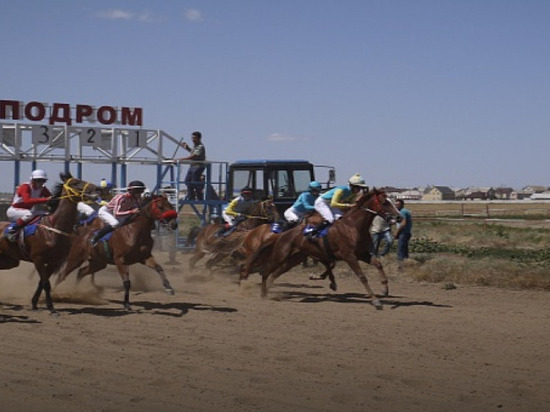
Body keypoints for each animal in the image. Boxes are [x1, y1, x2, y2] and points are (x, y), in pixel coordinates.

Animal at [0, 174, 101, 316]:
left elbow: (42, 283)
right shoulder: (39, 259)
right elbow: (46, 283)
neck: (54, 229)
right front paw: (52, 308)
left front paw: (35, 304)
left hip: (10, 260)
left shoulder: (54, 261)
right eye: (75, 183)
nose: (97, 189)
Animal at [258, 187, 402, 308]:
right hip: (280, 255)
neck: (353, 226)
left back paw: (269, 290)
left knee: (276, 273)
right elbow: (362, 276)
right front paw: (375, 300)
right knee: (266, 271)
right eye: (385, 202)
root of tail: (284, 232)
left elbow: (378, 264)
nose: (399, 217)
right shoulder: (349, 256)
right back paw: (263, 294)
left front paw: (384, 289)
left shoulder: (361, 253)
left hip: (295, 259)